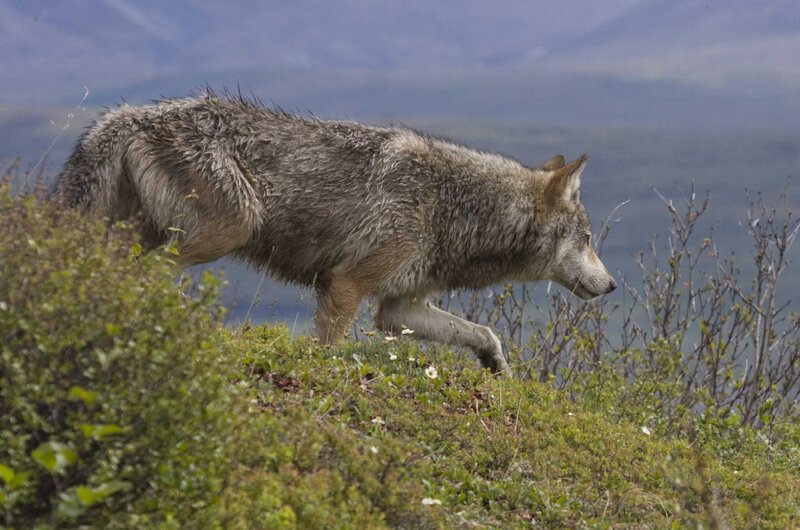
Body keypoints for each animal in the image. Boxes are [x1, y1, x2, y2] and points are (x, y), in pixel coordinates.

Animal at [54, 91, 616, 375]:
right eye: (589, 240)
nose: (612, 286)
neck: (455, 206)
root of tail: (129, 114)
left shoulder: (398, 309)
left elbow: (482, 332)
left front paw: (496, 365)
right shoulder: (346, 285)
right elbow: (327, 348)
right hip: (229, 229)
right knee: (141, 276)